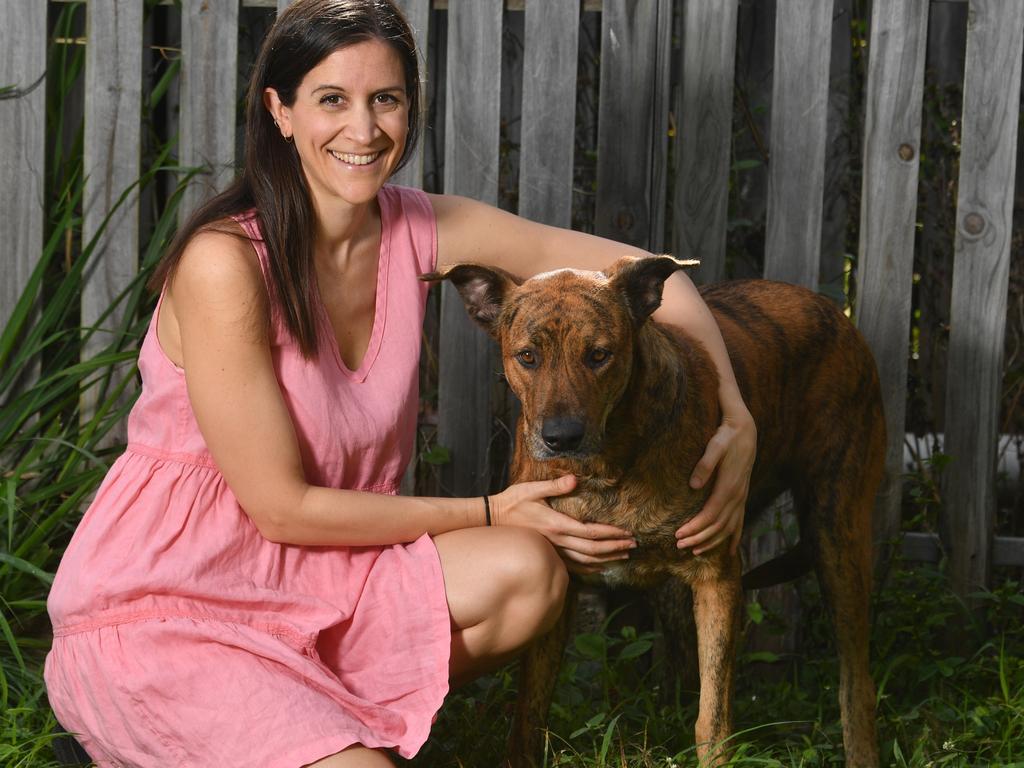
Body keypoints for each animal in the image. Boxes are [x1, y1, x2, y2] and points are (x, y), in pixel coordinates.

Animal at [428, 256, 884, 765]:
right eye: (527, 356)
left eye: (599, 355)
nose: (561, 437)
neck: (605, 470)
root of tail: (830, 308)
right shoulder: (562, 590)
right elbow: (529, 711)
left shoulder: (717, 577)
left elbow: (713, 718)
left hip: (837, 536)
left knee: (856, 682)